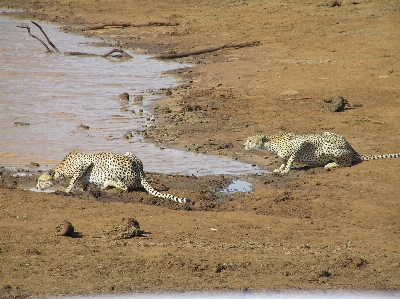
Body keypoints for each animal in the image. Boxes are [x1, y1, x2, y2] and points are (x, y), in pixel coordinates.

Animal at [36, 151, 188, 205]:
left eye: (40, 180)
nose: (36, 187)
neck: (61, 168)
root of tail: (141, 171)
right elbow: (82, 184)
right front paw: (82, 190)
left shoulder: (85, 163)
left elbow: (72, 180)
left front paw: (66, 191)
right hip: (129, 153)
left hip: (113, 161)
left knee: (125, 187)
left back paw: (107, 183)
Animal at [244, 131, 400, 175]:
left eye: (250, 140)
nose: (244, 145)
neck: (271, 143)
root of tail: (351, 148)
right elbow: (283, 160)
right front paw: (280, 168)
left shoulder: (300, 143)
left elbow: (290, 159)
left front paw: (286, 170)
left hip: (328, 147)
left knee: (348, 162)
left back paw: (330, 165)